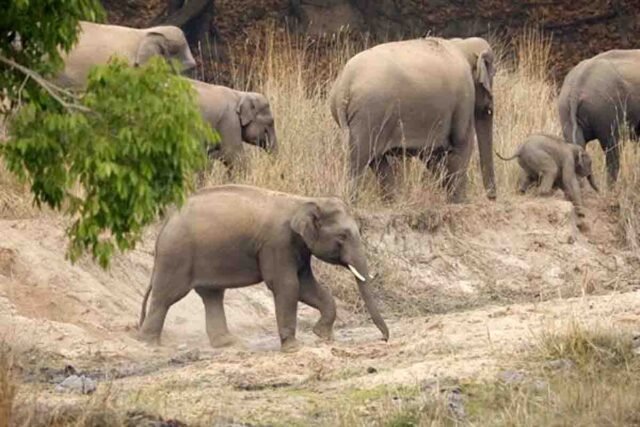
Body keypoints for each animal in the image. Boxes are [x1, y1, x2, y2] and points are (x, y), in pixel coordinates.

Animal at [137, 184, 389, 352]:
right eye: (343, 236)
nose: (385, 339)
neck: (303, 201)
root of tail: (165, 223)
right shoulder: (277, 243)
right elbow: (287, 285)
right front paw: (293, 348)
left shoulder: (297, 247)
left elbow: (306, 286)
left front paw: (323, 336)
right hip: (176, 255)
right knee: (166, 295)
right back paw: (149, 344)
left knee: (212, 295)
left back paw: (227, 343)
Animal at [329, 37, 497, 203]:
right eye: (493, 75)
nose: (492, 197)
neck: (462, 44)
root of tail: (345, 84)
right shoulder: (464, 97)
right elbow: (462, 144)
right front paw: (460, 202)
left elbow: (431, 154)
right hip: (368, 116)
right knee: (360, 159)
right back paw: (352, 201)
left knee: (376, 160)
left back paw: (392, 202)